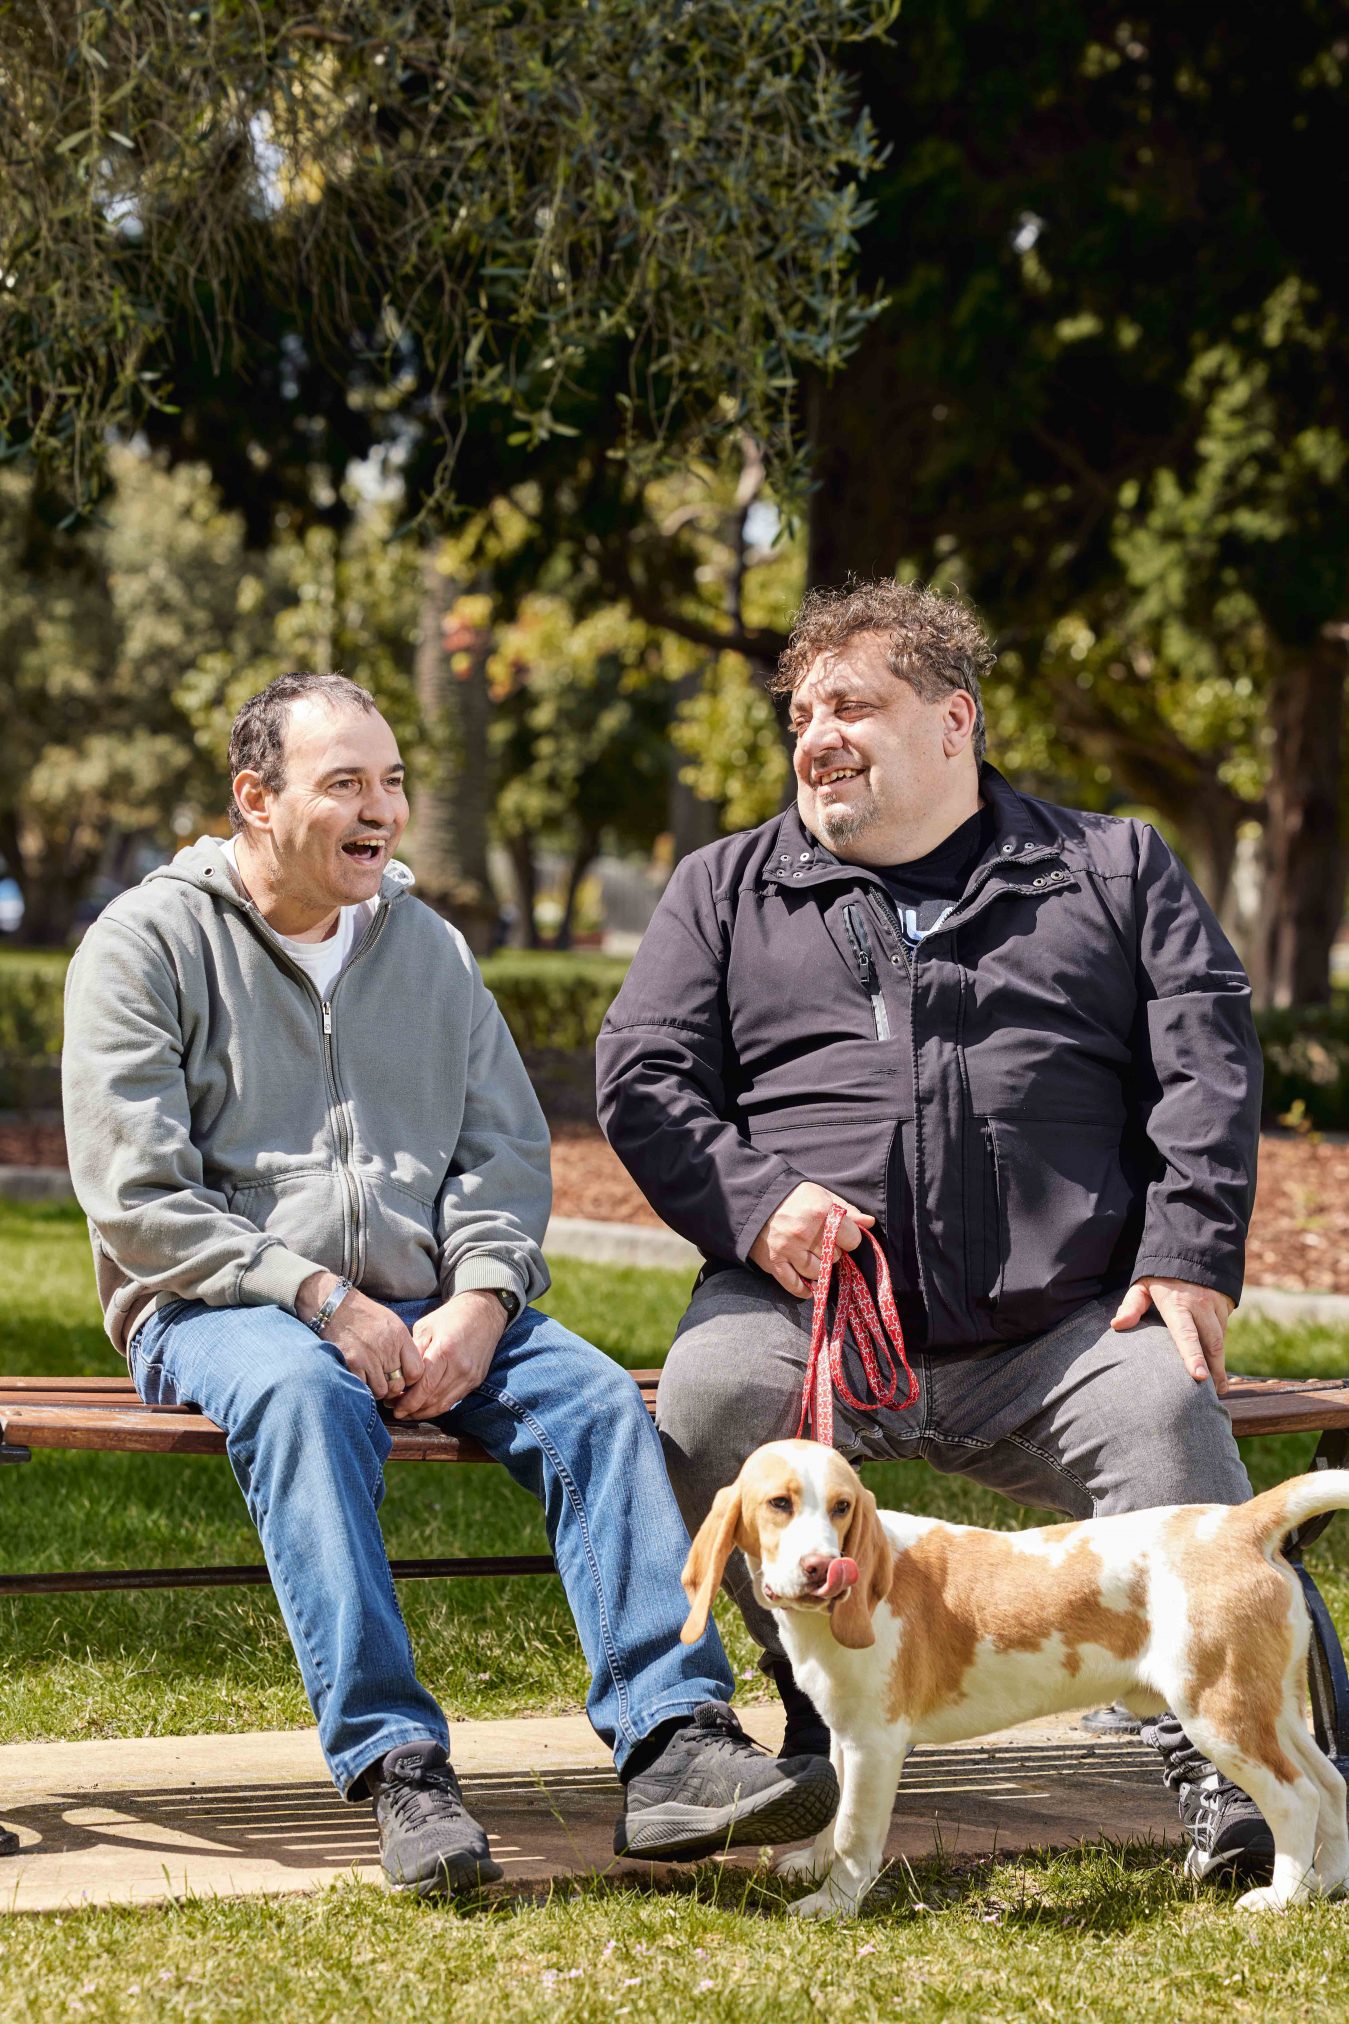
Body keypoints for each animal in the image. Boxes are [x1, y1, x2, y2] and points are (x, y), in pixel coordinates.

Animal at [687, 1441, 1349, 1910]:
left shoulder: (876, 1743)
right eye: (779, 1504)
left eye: (842, 1508)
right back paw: (1326, 1885)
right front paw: (813, 1864)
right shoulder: (845, 1734)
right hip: (1270, 1708)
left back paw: (1281, 1898)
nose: (824, 1569)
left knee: (1296, 1798)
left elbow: (856, 1832)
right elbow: (837, 1812)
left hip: (1219, 1712)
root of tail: (1239, 1524)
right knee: (1332, 1786)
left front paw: (831, 1905)